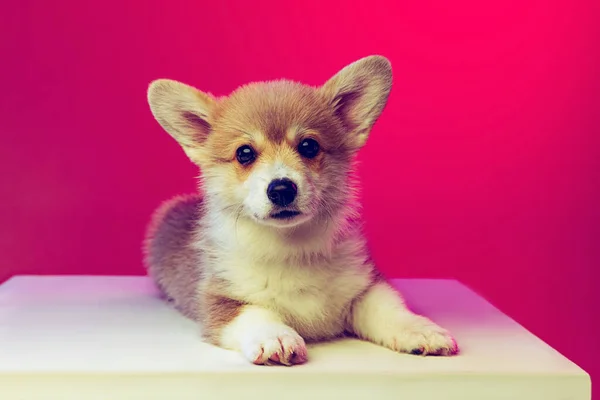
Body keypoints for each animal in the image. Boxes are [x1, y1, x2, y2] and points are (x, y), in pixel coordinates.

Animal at [143, 55, 458, 366]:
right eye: (244, 153)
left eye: (309, 146)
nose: (282, 189)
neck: (290, 246)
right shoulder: (219, 300)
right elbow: (255, 313)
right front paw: (276, 338)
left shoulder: (364, 285)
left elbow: (388, 307)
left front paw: (420, 330)